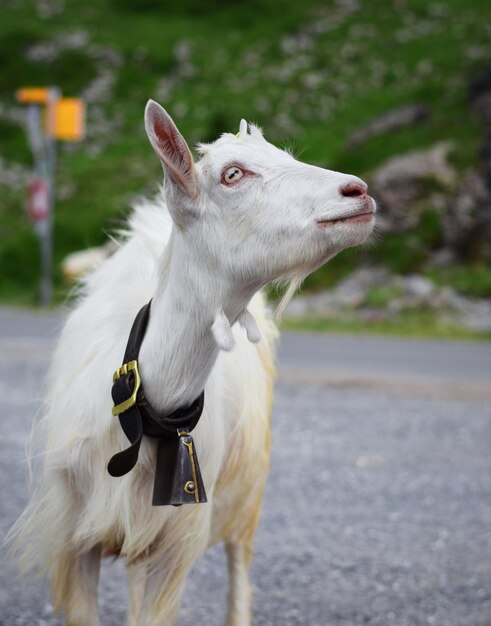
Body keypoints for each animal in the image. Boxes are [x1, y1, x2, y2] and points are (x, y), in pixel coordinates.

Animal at [8, 102, 376, 624]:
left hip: (249, 487)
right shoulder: (72, 539)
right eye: (233, 174)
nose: (358, 191)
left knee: (240, 571)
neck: (142, 413)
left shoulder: (176, 540)